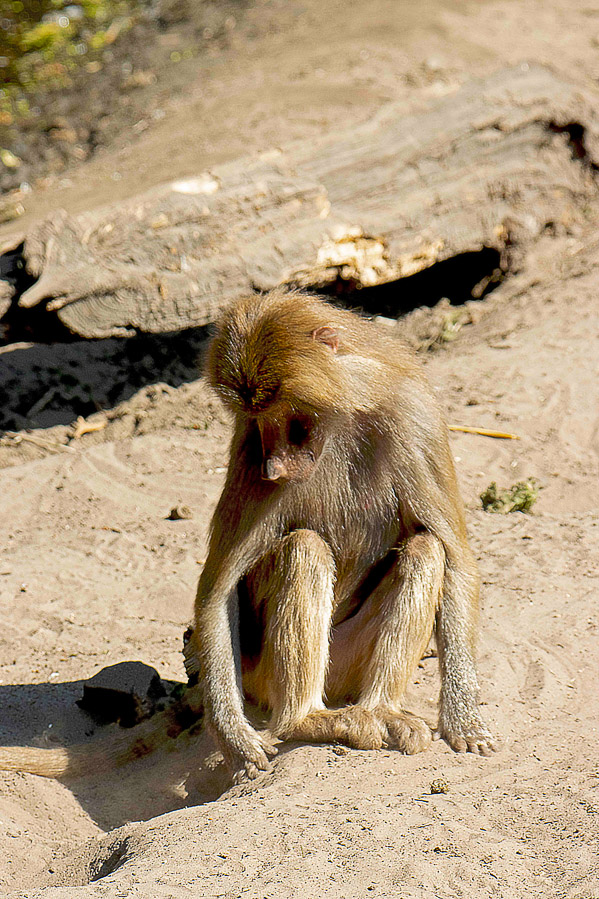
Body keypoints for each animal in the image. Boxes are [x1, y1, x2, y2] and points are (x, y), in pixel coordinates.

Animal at [184, 287, 499, 783]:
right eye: (258, 423)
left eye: (293, 419)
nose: (272, 470)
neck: (345, 415)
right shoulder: (245, 452)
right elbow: (217, 591)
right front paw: (235, 741)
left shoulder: (414, 418)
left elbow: (455, 556)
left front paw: (464, 717)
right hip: (258, 672)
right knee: (304, 548)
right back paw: (309, 719)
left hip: (346, 664)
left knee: (425, 550)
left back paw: (380, 711)